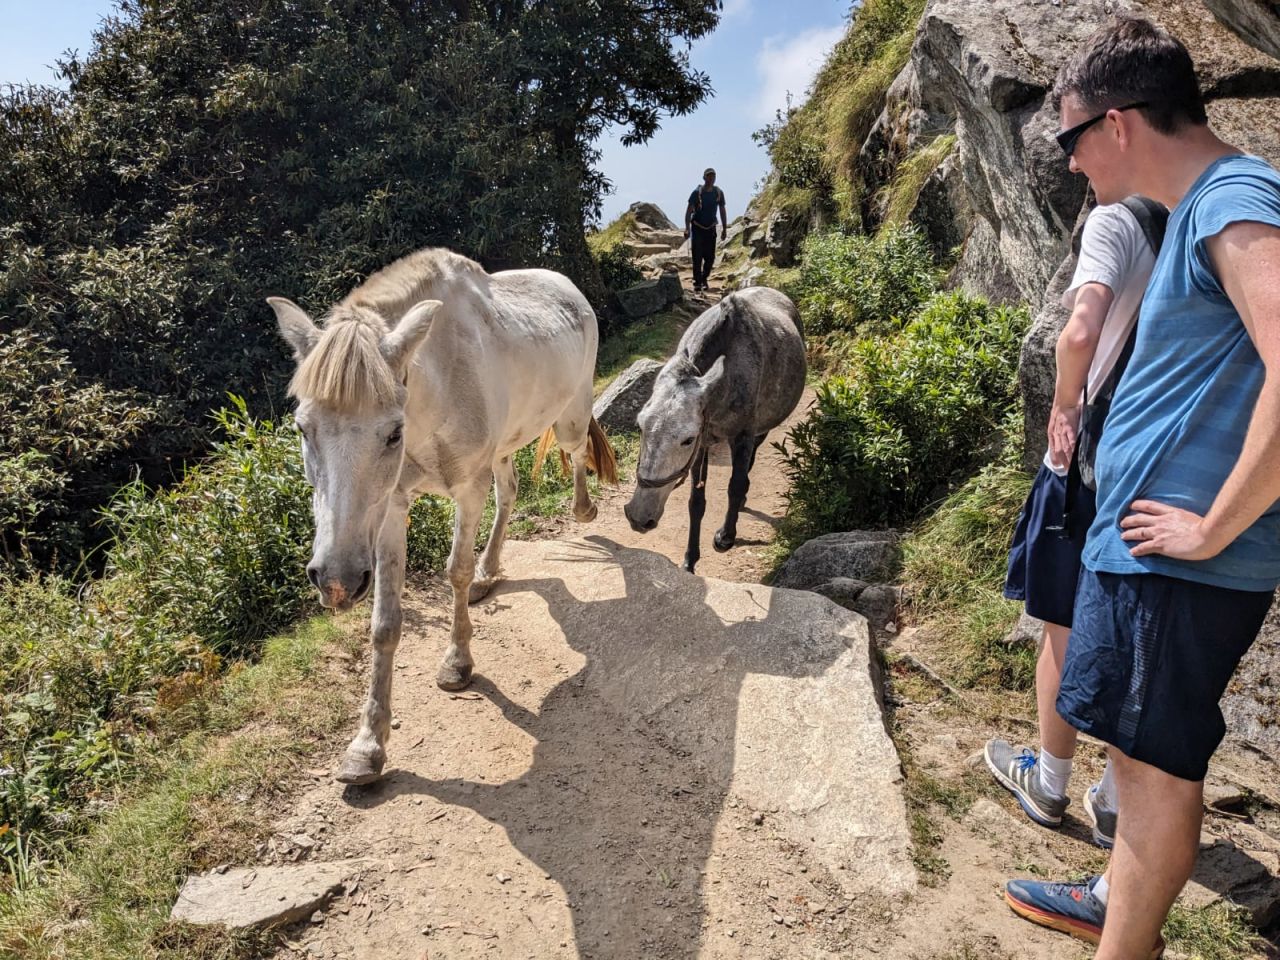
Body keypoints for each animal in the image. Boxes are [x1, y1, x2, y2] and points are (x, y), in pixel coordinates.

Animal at [269, 248, 617, 785]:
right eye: (304, 429)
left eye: (393, 432)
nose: (335, 581)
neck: (436, 392)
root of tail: (568, 287)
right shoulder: (391, 508)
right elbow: (385, 622)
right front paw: (367, 747)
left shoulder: (467, 491)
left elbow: (453, 571)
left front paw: (457, 663)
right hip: (504, 447)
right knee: (510, 493)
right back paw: (489, 573)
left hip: (571, 414)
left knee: (575, 451)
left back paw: (582, 510)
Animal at [623, 287, 805, 574]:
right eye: (640, 427)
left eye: (687, 440)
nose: (639, 517)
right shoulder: (704, 445)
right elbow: (696, 503)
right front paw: (690, 560)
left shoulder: (740, 436)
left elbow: (736, 485)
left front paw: (725, 536)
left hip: (761, 429)